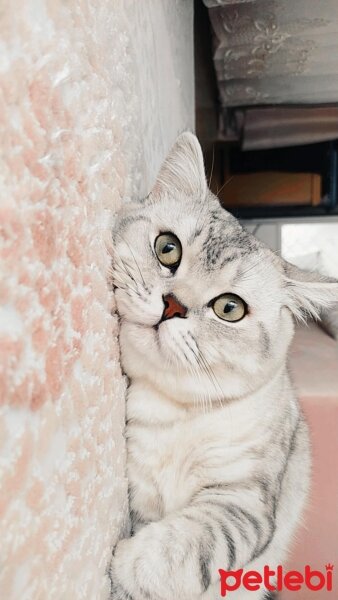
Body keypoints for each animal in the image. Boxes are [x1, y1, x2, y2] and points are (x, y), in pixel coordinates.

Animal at [111, 132, 338, 600]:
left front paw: (127, 568)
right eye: (167, 248)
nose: (173, 306)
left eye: (229, 308)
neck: (175, 413)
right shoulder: (139, 493)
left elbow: (186, 545)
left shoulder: (244, 504)